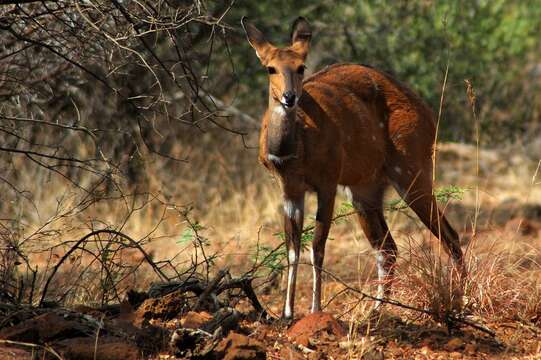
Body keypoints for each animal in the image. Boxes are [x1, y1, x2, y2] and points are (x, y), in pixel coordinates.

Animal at [242, 17, 464, 320]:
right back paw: (376, 310)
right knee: (388, 249)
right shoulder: (290, 190)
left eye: (301, 67)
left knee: (450, 236)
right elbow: (293, 248)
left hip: (411, 176)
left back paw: (460, 302)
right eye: (270, 68)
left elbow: (317, 246)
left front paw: (315, 309)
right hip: (364, 193)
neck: (293, 149)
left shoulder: (327, 184)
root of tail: (427, 112)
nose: (289, 97)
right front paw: (287, 314)